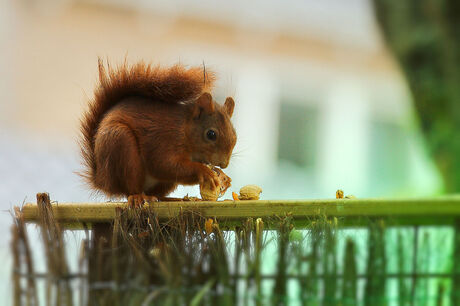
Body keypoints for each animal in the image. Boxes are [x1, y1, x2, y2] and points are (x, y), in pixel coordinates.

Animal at [79, 59, 237, 206]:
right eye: (211, 134)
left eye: (235, 136)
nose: (224, 164)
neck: (184, 129)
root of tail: (101, 180)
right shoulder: (164, 139)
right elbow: (164, 165)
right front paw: (204, 171)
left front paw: (223, 176)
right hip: (121, 144)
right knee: (131, 188)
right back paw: (138, 197)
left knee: (157, 194)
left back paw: (172, 198)